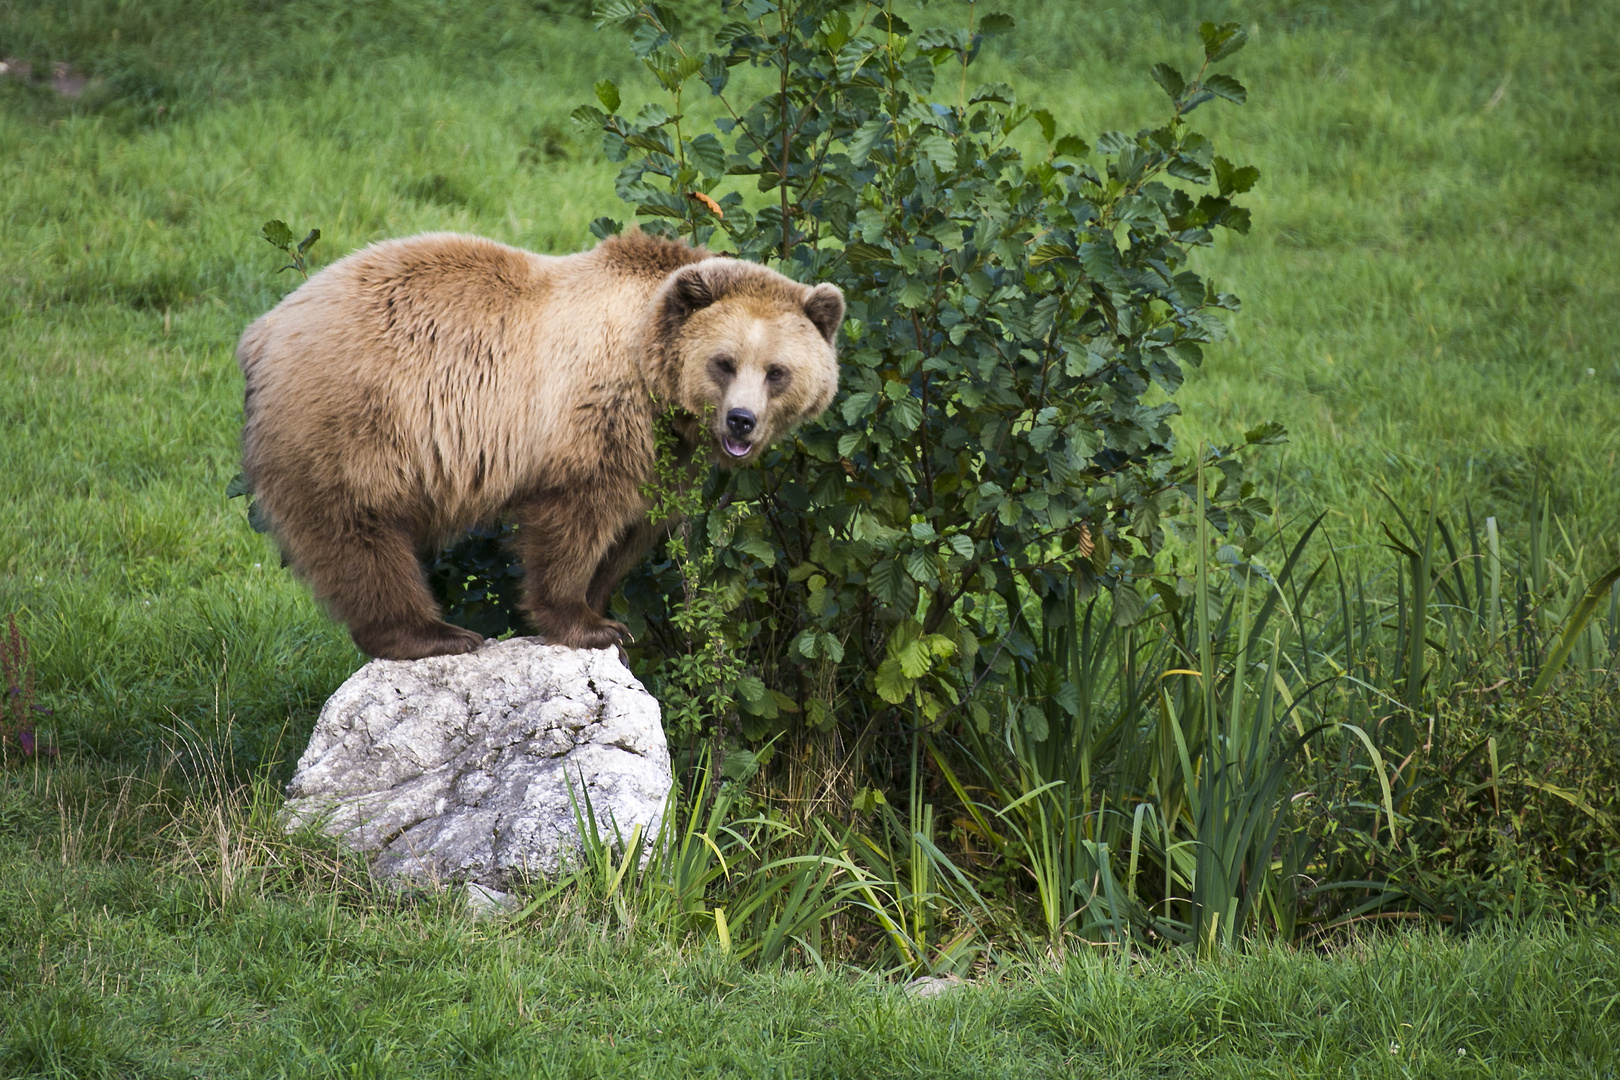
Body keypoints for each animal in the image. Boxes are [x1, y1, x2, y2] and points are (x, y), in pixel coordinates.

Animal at [243, 229, 848, 660]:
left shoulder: (664, 454)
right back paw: (434, 633)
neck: (652, 376)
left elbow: (634, 528)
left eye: (777, 371)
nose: (741, 421)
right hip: (354, 418)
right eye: (724, 362)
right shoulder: (591, 412)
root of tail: (262, 329)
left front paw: (604, 608)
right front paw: (587, 623)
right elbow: (576, 518)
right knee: (359, 532)